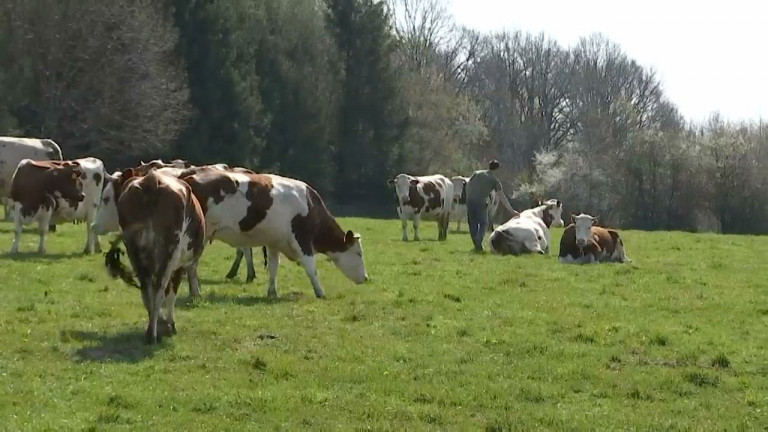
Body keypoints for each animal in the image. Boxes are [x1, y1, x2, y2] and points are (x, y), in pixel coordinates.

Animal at [106, 169, 207, 344]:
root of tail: (151, 180)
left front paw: (162, 321)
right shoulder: (180, 264)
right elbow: (170, 293)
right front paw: (170, 325)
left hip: (134, 251)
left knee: (146, 288)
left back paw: (152, 330)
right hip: (170, 251)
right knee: (160, 288)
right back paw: (153, 334)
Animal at [183, 170, 368, 298]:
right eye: (359, 253)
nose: (366, 278)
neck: (310, 206)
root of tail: (190, 177)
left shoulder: (275, 243)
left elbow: (273, 267)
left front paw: (272, 292)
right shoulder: (302, 240)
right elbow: (311, 268)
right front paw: (320, 292)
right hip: (201, 237)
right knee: (191, 266)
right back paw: (196, 293)